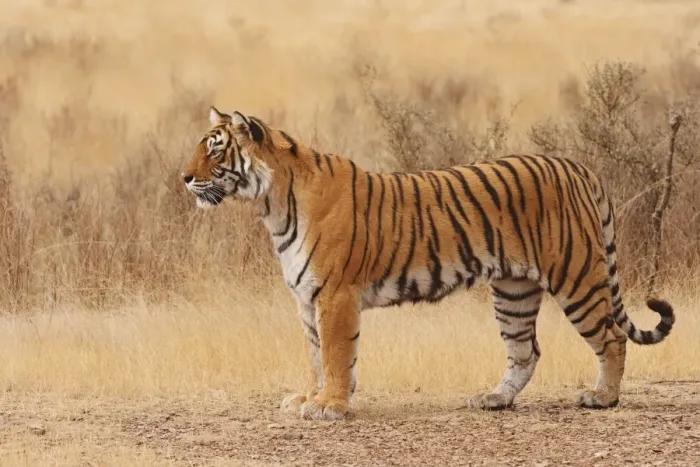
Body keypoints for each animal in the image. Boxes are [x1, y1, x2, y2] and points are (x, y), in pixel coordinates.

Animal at [181, 106, 675, 421]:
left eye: (215, 150)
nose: (183, 178)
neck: (272, 205)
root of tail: (578, 167)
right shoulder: (307, 300)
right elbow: (315, 356)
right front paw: (310, 397)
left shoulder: (335, 296)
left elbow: (336, 355)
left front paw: (329, 405)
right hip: (513, 291)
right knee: (526, 351)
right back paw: (494, 399)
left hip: (576, 277)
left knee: (611, 338)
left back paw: (602, 397)